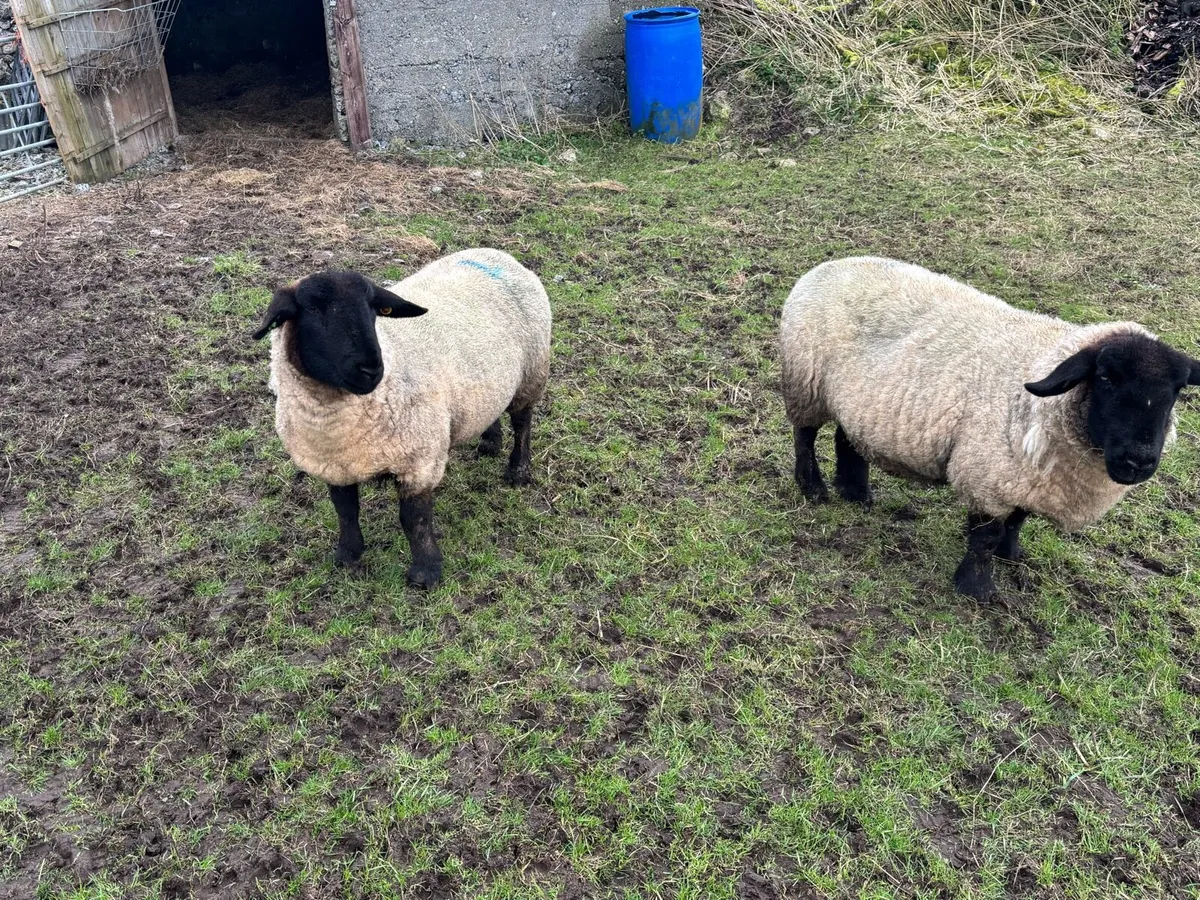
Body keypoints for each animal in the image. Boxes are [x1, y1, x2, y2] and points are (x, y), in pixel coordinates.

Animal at [253, 248, 551, 589]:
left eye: (374, 309)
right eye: (313, 309)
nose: (371, 369)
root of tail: (496, 254)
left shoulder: (419, 462)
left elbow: (414, 520)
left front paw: (426, 572)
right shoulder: (334, 465)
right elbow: (345, 511)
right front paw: (348, 555)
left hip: (532, 372)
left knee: (523, 421)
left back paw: (518, 470)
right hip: (487, 381)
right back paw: (489, 441)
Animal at [780, 256, 1200, 600]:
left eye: (1176, 391)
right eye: (1106, 378)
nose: (1138, 462)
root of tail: (827, 265)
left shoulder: (1026, 477)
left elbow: (1017, 521)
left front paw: (1012, 556)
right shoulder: (988, 475)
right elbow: (984, 536)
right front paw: (977, 588)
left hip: (860, 401)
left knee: (847, 439)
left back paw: (856, 494)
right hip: (806, 382)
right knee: (805, 436)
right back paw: (813, 488)